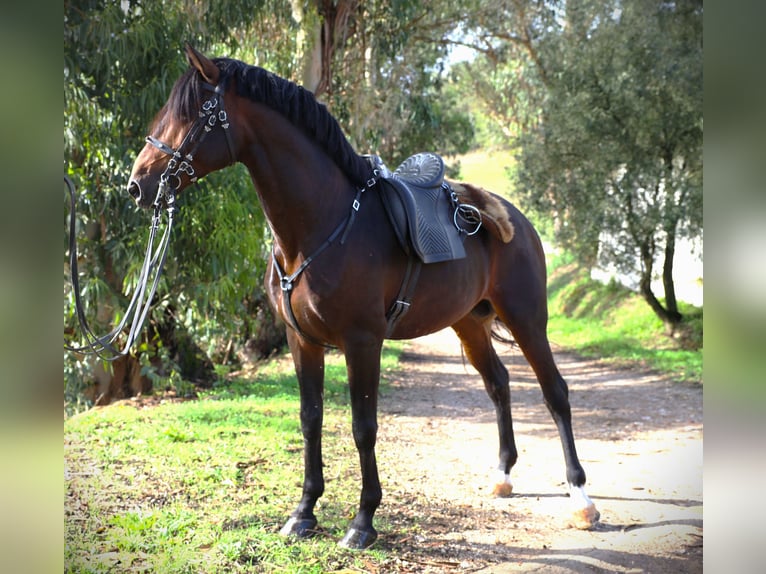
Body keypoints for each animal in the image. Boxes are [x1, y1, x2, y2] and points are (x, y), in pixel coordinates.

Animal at [129, 45, 604, 548]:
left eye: (194, 112)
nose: (138, 185)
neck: (323, 224)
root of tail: (515, 218)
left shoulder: (362, 342)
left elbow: (363, 427)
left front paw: (363, 521)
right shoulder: (303, 342)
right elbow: (311, 420)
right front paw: (304, 513)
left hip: (526, 318)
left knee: (555, 393)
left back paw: (581, 498)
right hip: (469, 323)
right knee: (498, 384)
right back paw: (503, 475)